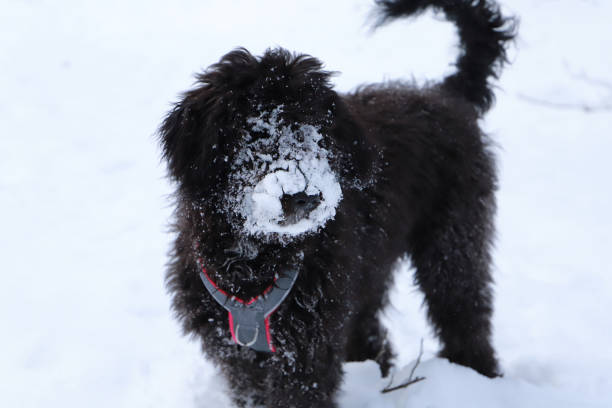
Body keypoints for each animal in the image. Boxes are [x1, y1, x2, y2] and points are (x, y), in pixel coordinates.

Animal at [160, 1, 512, 406]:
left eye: (317, 132)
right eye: (255, 132)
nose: (304, 196)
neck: (258, 258)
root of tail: (446, 94)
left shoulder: (307, 349)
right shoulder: (234, 348)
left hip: (453, 241)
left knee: (464, 310)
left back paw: (477, 375)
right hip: (368, 270)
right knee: (372, 329)